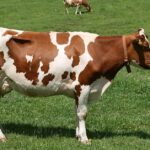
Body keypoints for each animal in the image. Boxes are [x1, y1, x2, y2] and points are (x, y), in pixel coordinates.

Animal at [0, 27, 150, 144]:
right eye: (145, 47)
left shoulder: (78, 90)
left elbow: (76, 112)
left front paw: (78, 136)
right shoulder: (83, 85)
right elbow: (83, 113)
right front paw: (84, 138)